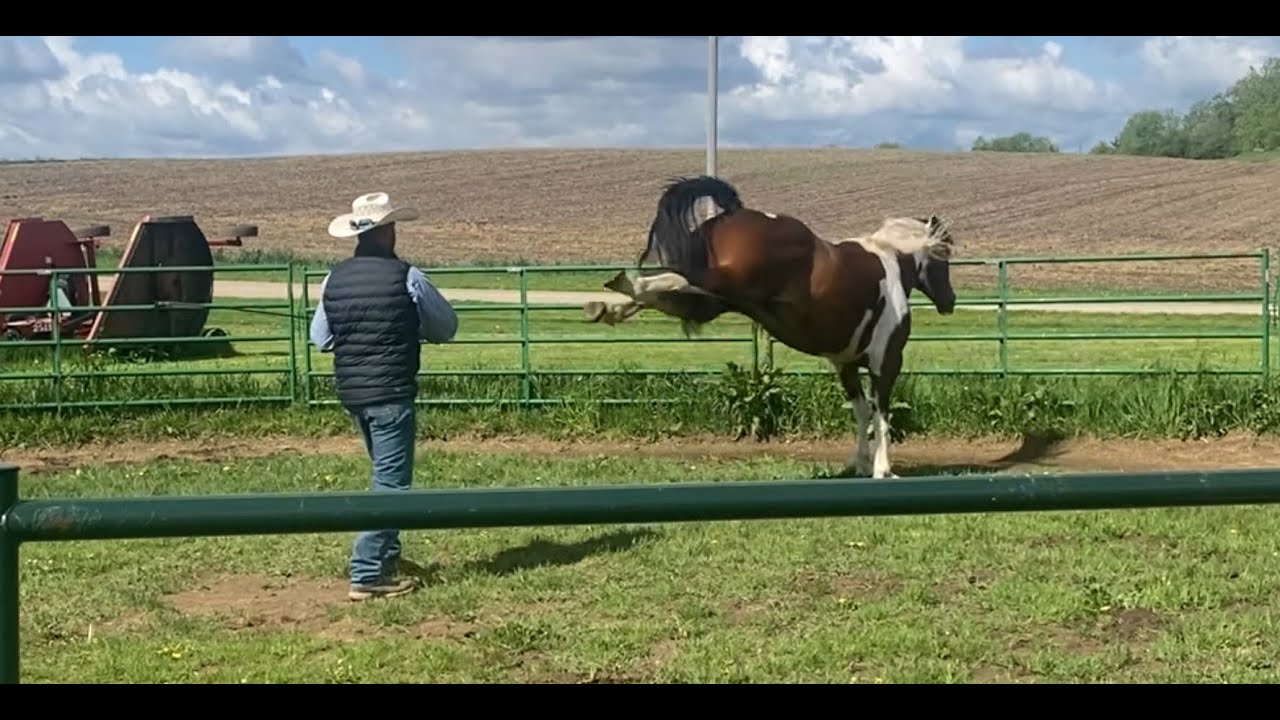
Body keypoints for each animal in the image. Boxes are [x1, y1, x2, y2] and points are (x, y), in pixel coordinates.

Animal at [582, 175, 957, 479]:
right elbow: (881, 413)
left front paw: (861, 465)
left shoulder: (847, 365)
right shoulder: (886, 362)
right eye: (945, 256)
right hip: (729, 283)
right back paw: (620, 289)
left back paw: (609, 305)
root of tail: (733, 214)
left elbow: (862, 409)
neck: (892, 263)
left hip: (718, 300)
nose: (949, 301)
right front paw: (883, 469)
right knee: (678, 278)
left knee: (672, 289)